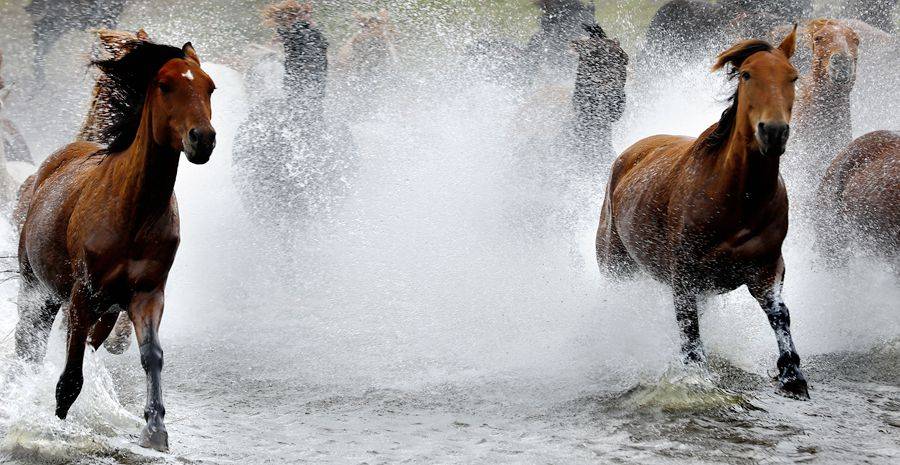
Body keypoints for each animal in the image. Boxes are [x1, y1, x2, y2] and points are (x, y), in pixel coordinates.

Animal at [596, 29, 808, 398]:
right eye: (747, 74)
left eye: (792, 77)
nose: (773, 131)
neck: (737, 199)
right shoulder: (684, 272)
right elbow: (688, 326)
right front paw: (695, 377)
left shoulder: (767, 267)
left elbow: (779, 314)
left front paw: (792, 376)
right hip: (616, 266)